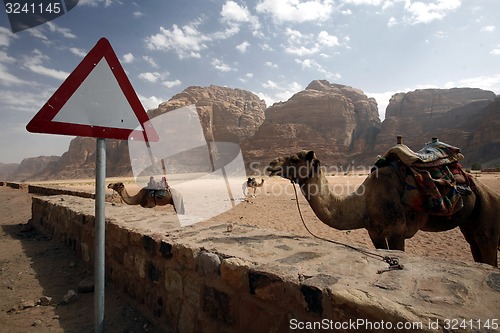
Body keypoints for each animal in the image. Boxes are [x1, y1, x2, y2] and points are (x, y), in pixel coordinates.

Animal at [268, 149, 500, 266]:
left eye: (295, 158)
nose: (271, 164)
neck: (362, 204)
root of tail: (491, 193)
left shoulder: (397, 231)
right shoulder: (375, 233)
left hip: (487, 215)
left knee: (488, 250)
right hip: (470, 224)